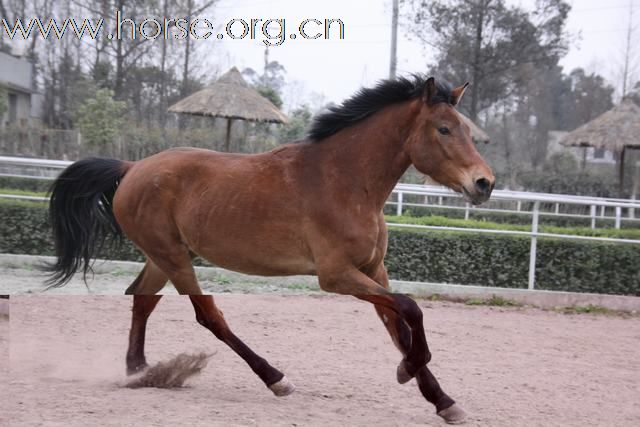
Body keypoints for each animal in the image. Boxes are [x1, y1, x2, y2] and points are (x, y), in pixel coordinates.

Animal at [47, 77, 496, 424]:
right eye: (444, 129)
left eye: (466, 129)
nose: (484, 183)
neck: (345, 181)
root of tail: (131, 168)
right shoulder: (336, 276)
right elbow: (411, 309)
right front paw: (408, 371)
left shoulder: (374, 269)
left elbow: (398, 326)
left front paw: (443, 401)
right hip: (175, 258)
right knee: (208, 315)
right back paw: (274, 378)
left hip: (162, 257)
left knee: (141, 299)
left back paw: (140, 371)